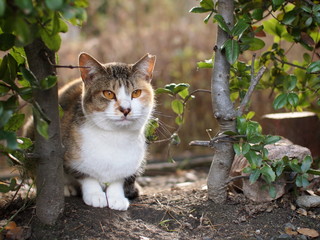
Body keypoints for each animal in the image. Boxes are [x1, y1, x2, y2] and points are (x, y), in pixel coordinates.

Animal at [57, 52, 156, 210]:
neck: (115, 137)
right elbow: (86, 176)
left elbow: (118, 180)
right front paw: (95, 195)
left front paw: (116, 197)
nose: (126, 109)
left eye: (136, 93)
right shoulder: (70, 158)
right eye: (108, 93)